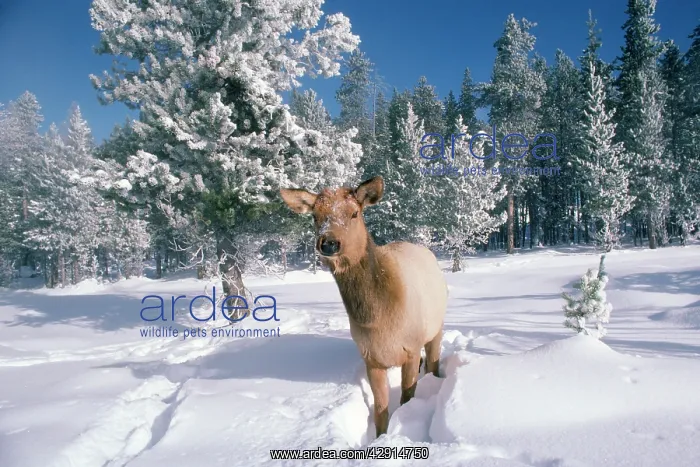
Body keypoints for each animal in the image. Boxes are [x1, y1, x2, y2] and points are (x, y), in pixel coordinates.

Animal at [280, 175, 448, 438]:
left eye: (354, 213)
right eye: (315, 216)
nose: (328, 243)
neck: (376, 319)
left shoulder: (410, 349)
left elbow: (406, 398)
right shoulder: (371, 359)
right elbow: (380, 410)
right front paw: (380, 437)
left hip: (436, 327)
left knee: (432, 362)